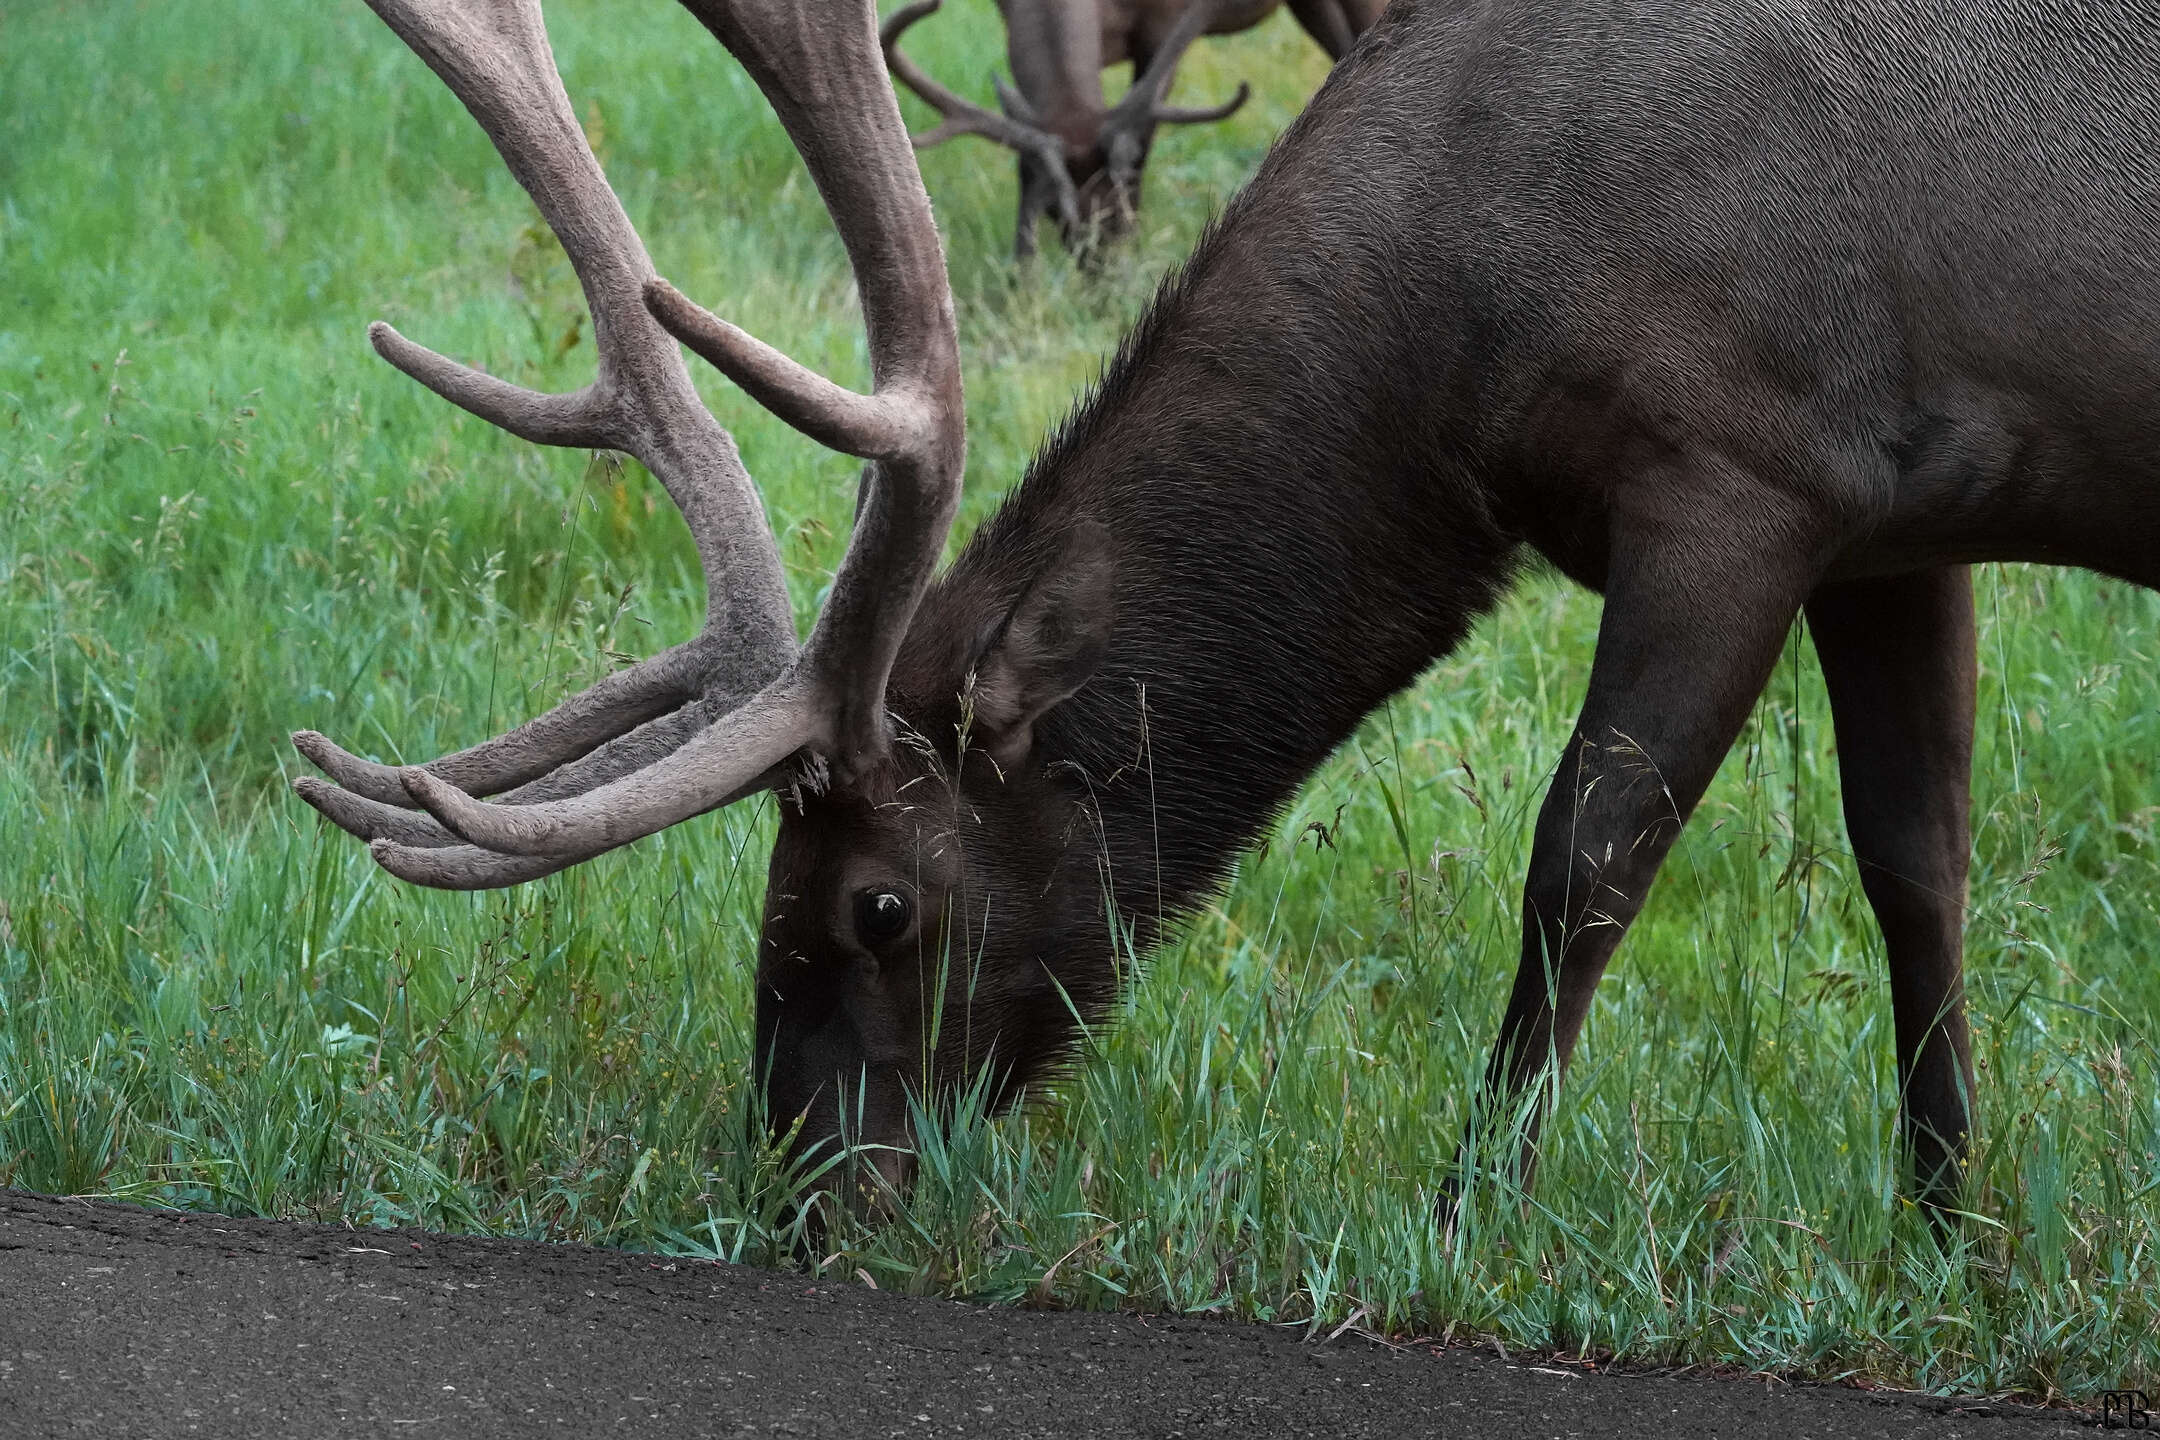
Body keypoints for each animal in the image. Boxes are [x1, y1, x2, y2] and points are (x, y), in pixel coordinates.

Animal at [881, 0, 1382, 254]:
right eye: (1055, 214)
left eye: (1120, 209)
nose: (1098, 274)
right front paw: (1023, 278)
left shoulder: (1163, 25)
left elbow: (1142, 137)